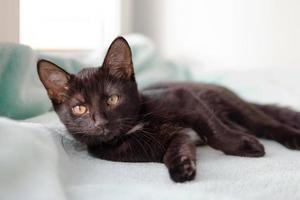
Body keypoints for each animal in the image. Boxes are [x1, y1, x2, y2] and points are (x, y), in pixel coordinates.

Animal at [37, 36, 300, 183]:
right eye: (80, 108)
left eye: (112, 99)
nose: (100, 122)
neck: (136, 126)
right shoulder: (165, 141)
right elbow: (174, 147)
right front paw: (182, 167)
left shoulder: (184, 98)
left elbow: (214, 132)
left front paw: (242, 146)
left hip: (229, 101)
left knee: (265, 122)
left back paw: (286, 136)